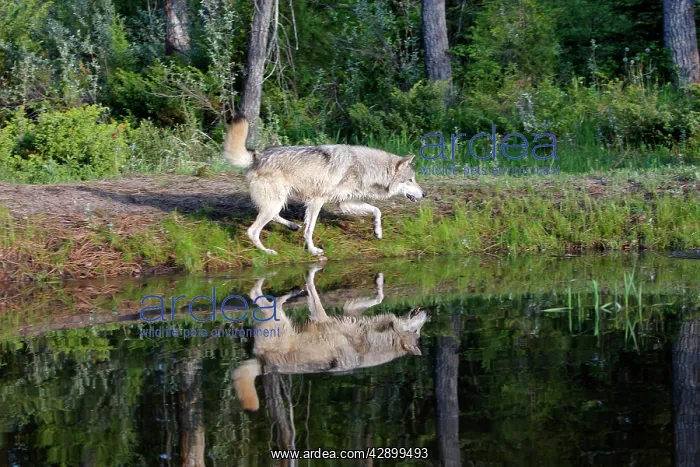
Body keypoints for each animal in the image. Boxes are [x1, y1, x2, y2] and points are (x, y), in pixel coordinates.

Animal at [222, 116, 427, 255]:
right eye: (410, 180)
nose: (425, 194)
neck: (365, 168)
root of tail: (257, 156)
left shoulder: (345, 203)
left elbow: (377, 210)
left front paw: (377, 231)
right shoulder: (317, 201)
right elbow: (310, 229)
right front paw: (312, 250)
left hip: (277, 202)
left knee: (273, 217)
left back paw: (292, 226)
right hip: (274, 203)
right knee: (253, 231)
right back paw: (268, 252)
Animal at [233, 264, 429, 411]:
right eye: (417, 331)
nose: (428, 312)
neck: (374, 341)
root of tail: (261, 362)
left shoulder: (330, 317)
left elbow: (313, 290)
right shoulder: (343, 314)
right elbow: (379, 298)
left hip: (279, 319)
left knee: (262, 296)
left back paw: (292, 290)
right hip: (280, 319)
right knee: (263, 296)